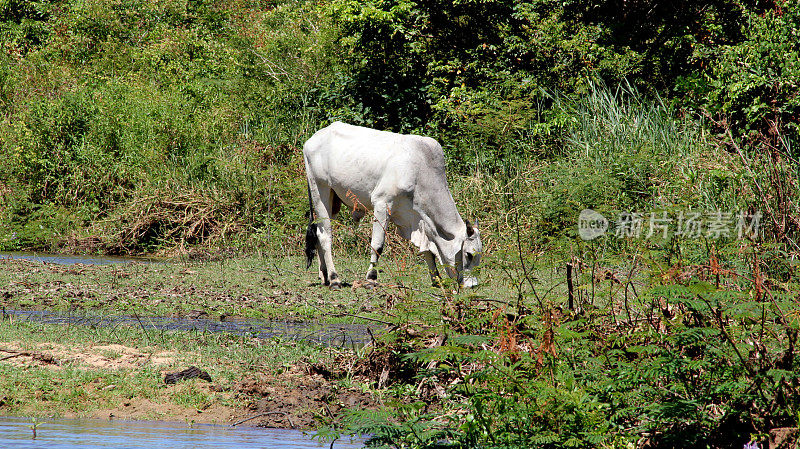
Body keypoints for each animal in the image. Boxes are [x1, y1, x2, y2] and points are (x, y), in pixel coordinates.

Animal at [304, 121, 482, 288]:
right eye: (469, 254)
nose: (472, 285)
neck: (420, 171)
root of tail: (313, 139)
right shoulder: (382, 204)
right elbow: (377, 245)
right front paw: (371, 279)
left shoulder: (421, 219)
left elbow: (427, 251)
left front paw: (436, 280)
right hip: (320, 189)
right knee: (325, 235)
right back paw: (334, 279)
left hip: (334, 200)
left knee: (319, 231)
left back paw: (324, 276)